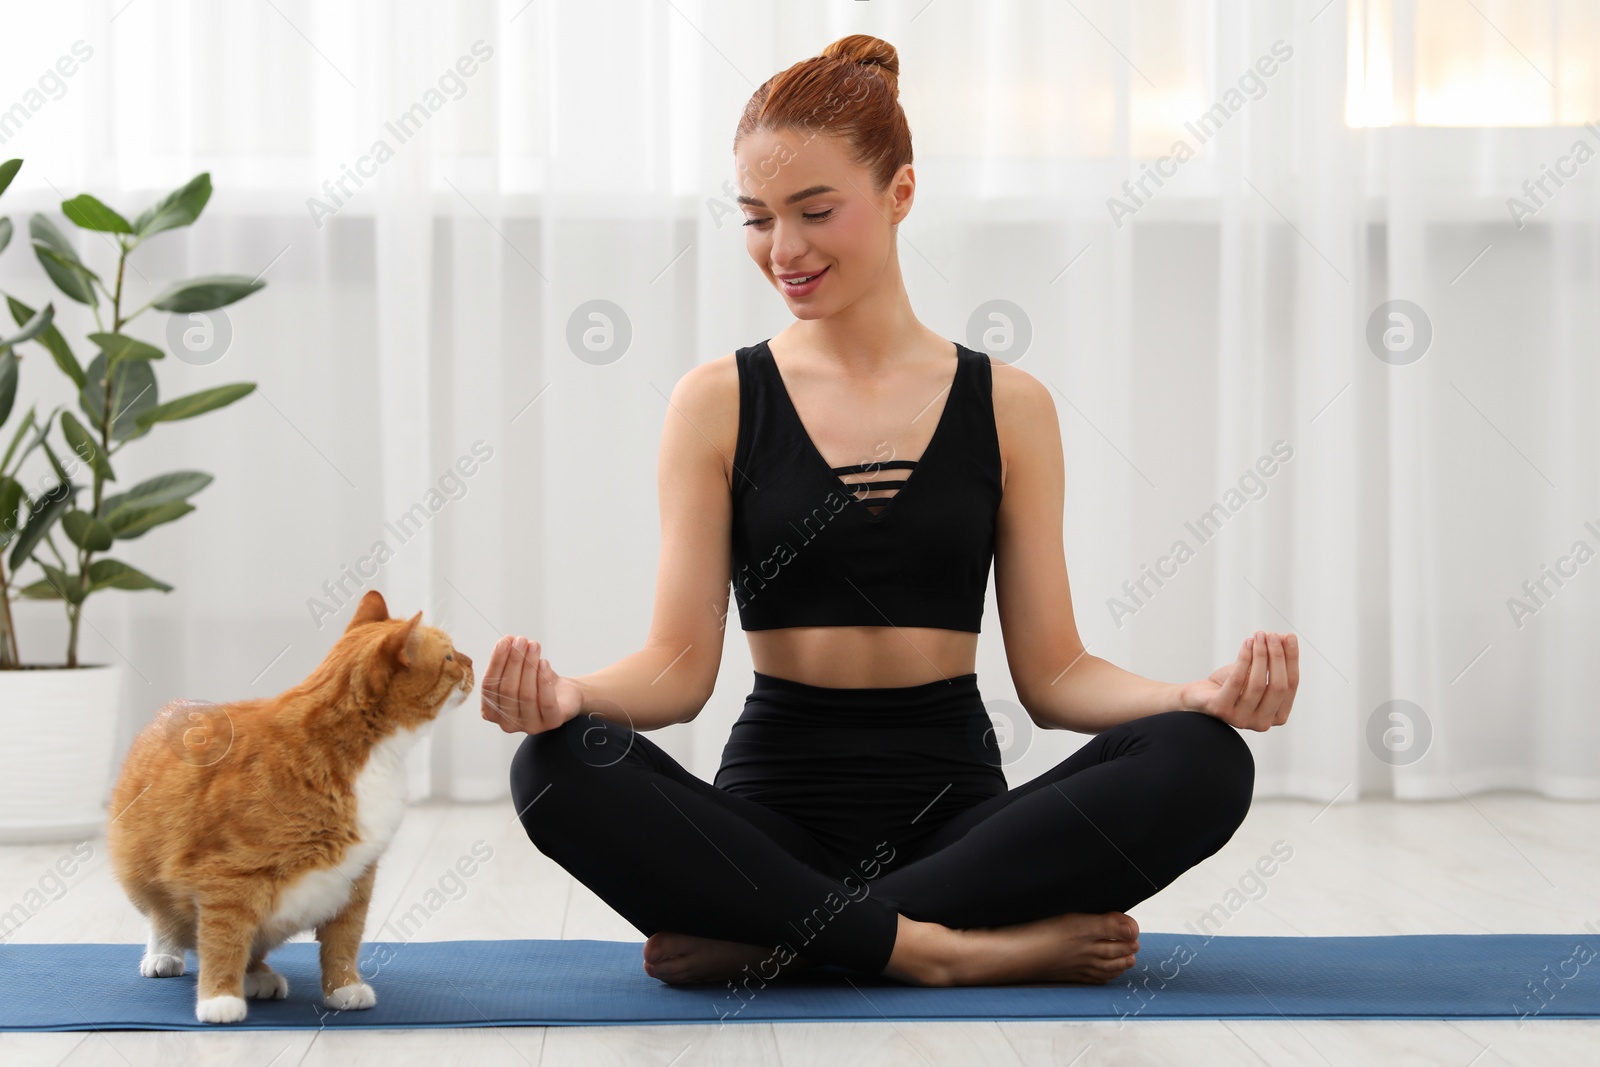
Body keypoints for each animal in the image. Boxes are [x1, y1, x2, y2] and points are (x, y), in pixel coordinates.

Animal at [107, 591, 473, 1023]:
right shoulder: (227, 878)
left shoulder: (355, 878)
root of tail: (179, 705)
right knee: (167, 920)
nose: (471, 661)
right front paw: (219, 999)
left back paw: (258, 976)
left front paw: (343, 988)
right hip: (147, 878)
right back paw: (165, 955)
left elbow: (343, 943)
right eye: (448, 657)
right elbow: (222, 942)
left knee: (250, 948)